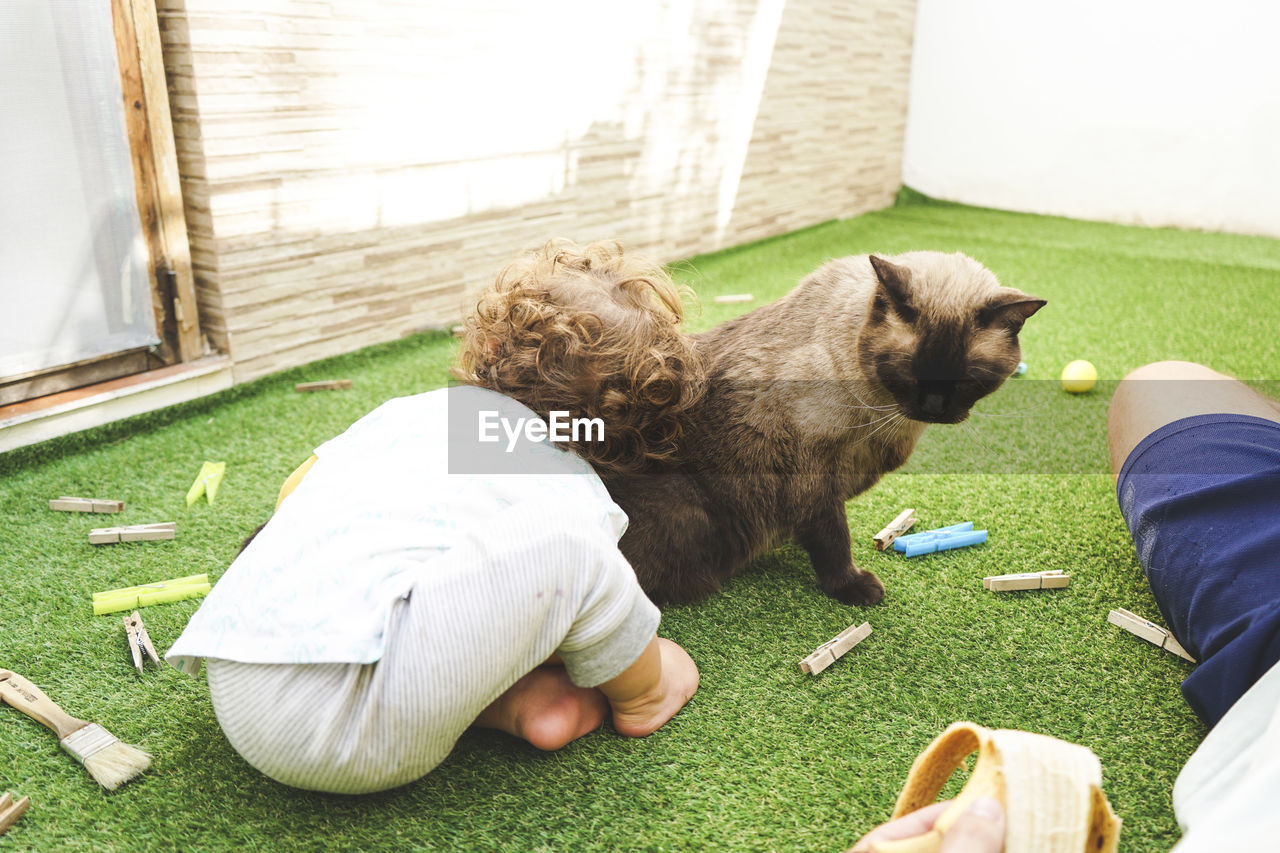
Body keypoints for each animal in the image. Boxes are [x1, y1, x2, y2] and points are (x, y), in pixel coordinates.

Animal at [460, 244, 1039, 604]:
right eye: (910, 371)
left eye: (968, 379)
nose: (934, 407)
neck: (884, 416)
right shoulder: (812, 483)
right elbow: (833, 543)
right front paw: (854, 589)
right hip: (688, 515)